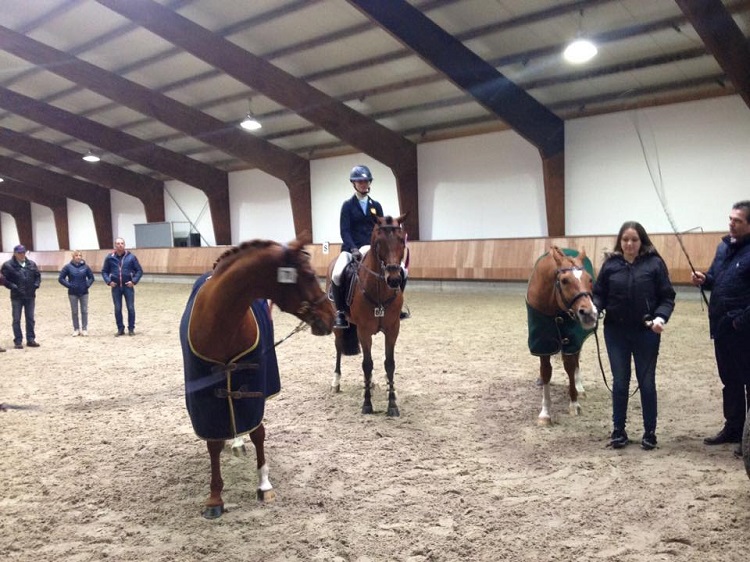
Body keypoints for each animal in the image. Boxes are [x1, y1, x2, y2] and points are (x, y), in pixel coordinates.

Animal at [178, 236, 334, 516]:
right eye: (307, 275)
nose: (332, 316)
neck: (219, 320)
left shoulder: (253, 384)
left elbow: (258, 432)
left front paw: (263, 485)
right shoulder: (207, 397)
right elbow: (213, 444)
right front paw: (215, 498)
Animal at [328, 214, 408, 416]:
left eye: (401, 241)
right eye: (379, 243)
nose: (394, 279)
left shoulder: (393, 329)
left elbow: (389, 364)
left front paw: (392, 404)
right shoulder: (363, 331)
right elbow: (367, 364)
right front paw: (367, 404)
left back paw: (371, 383)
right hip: (340, 325)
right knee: (338, 348)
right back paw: (336, 382)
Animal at [524, 243, 604, 422]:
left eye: (589, 279)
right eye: (564, 280)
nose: (590, 314)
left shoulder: (571, 339)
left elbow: (570, 366)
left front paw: (574, 403)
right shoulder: (542, 344)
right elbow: (546, 371)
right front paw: (545, 413)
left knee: (576, 361)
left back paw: (580, 387)